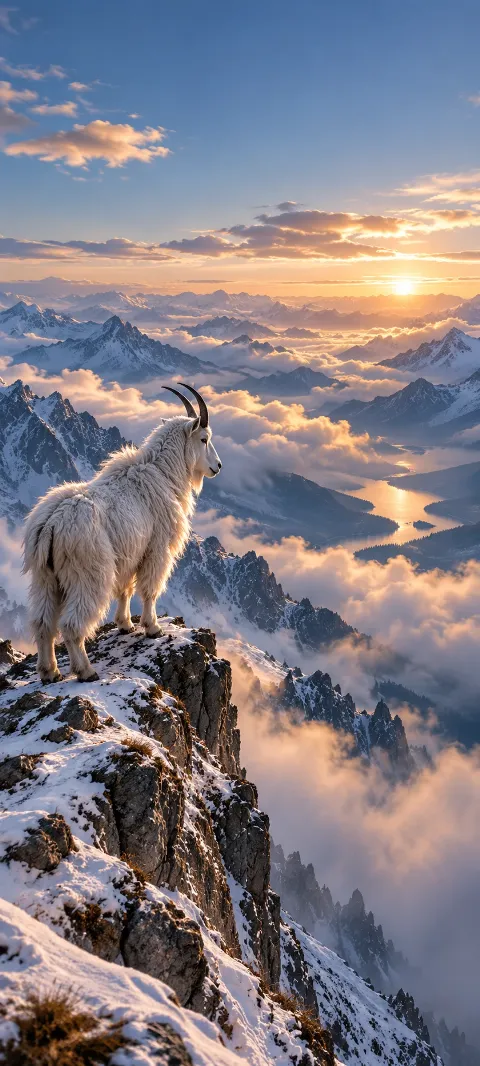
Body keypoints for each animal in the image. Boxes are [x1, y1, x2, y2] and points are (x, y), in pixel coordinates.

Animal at [23, 383, 221, 683]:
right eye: (204, 438)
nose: (217, 466)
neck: (164, 474)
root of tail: (51, 525)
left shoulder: (130, 552)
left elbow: (125, 589)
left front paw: (125, 625)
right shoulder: (156, 548)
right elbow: (149, 589)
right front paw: (152, 628)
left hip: (45, 578)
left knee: (42, 622)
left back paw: (50, 672)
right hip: (88, 574)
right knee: (72, 624)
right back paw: (86, 671)